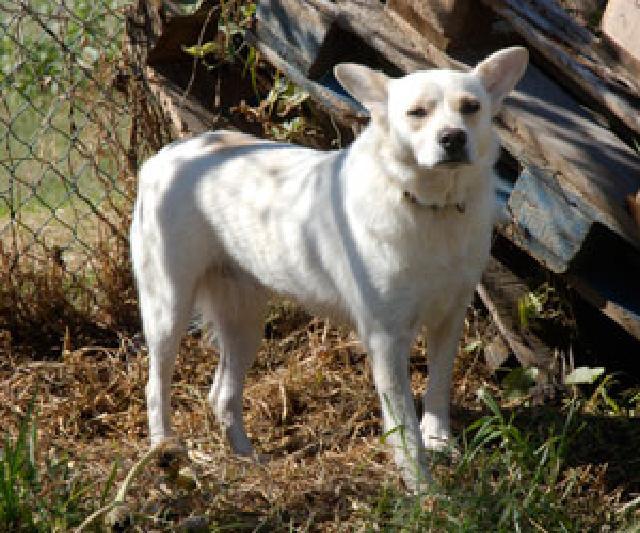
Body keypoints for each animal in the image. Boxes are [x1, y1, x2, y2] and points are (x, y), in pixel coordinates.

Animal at [131, 47, 528, 488]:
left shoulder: (449, 318)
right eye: (417, 113)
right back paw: (165, 456)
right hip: (168, 312)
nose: (453, 138)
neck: (429, 207)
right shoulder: (386, 340)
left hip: (244, 324)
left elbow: (438, 388)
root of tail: (165, 156)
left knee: (222, 396)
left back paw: (250, 461)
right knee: (156, 387)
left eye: (471, 107)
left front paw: (440, 442)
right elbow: (403, 425)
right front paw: (423, 487)